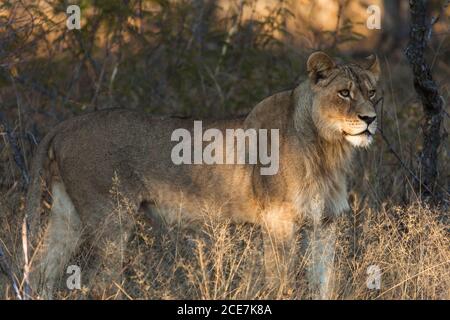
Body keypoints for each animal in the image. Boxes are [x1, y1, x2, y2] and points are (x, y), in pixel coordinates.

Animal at [24, 51, 380, 298]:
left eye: (373, 92)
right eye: (344, 93)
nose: (370, 119)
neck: (328, 149)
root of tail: (66, 124)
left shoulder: (325, 224)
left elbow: (324, 283)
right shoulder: (278, 221)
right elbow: (279, 281)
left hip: (67, 214)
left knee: (42, 271)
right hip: (111, 217)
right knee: (100, 283)